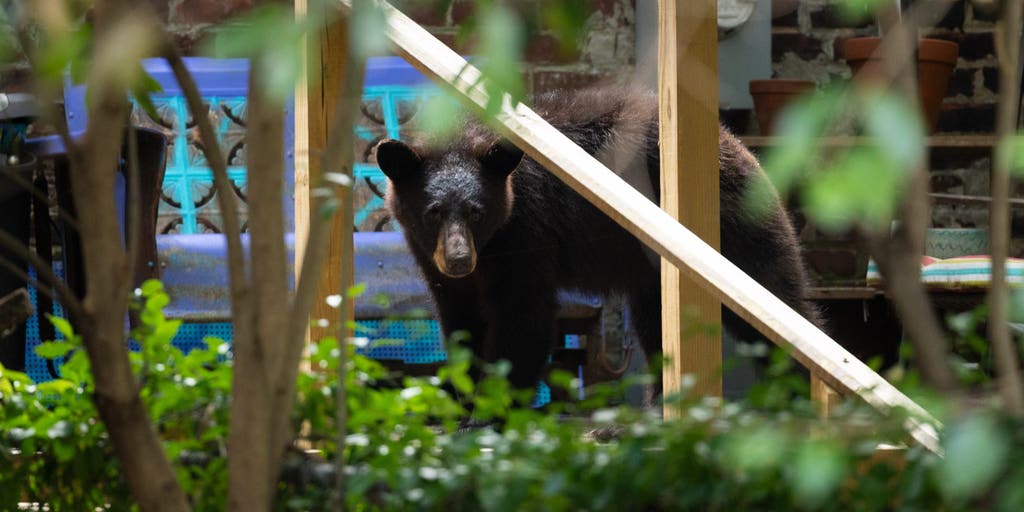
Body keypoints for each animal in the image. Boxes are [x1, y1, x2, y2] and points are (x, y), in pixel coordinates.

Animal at [374, 86, 821, 391]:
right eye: (433, 211)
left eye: (476, 211)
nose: (459, 260)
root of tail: (736, 144)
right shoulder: (427, 254)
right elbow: (460, 320)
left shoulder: (526, 234)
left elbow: (522, 318)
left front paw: (489, 411)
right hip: (653, 273)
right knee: (657, 332)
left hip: (736, 230)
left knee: (777, 300)